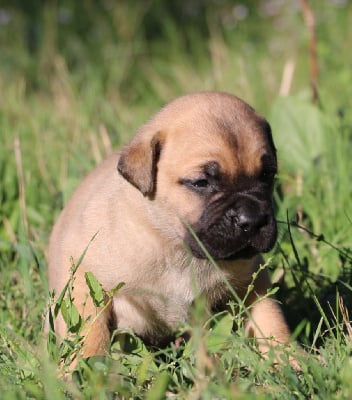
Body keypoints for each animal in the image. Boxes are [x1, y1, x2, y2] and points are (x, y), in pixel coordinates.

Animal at [48, 92, 292, 360]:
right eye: (201, 182)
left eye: (268, 175)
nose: (253, 219)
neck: (176, 249)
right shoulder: (84, 273)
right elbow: (90, 331)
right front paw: (85, 367)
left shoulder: (252, 281)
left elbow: (270, 321)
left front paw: (289, 361)